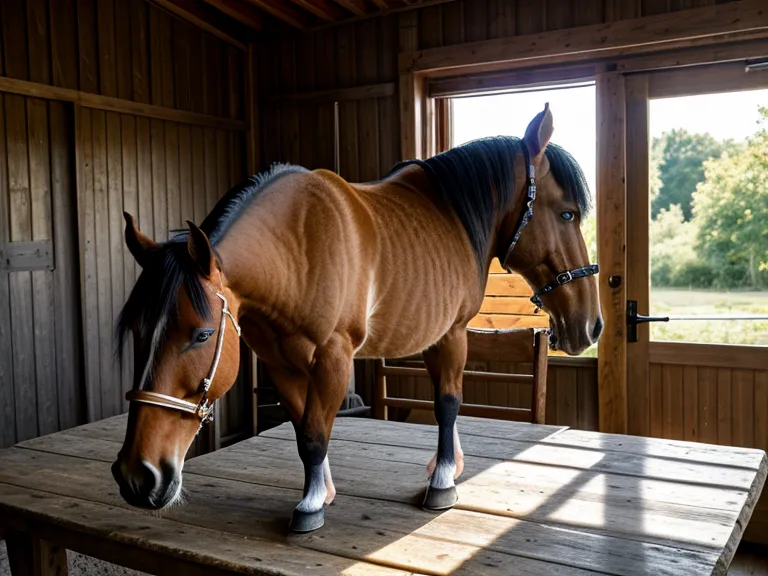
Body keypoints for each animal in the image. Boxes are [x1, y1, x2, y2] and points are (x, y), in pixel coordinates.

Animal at [111, 104, 602, 533]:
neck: (299, 246)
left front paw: (437, 482)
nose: (138, 476)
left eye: (202, 334)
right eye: (136, 332)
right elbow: (305, 430)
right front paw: (321, 492)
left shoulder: (409, 341)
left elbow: (437, 406)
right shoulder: (281, 364)